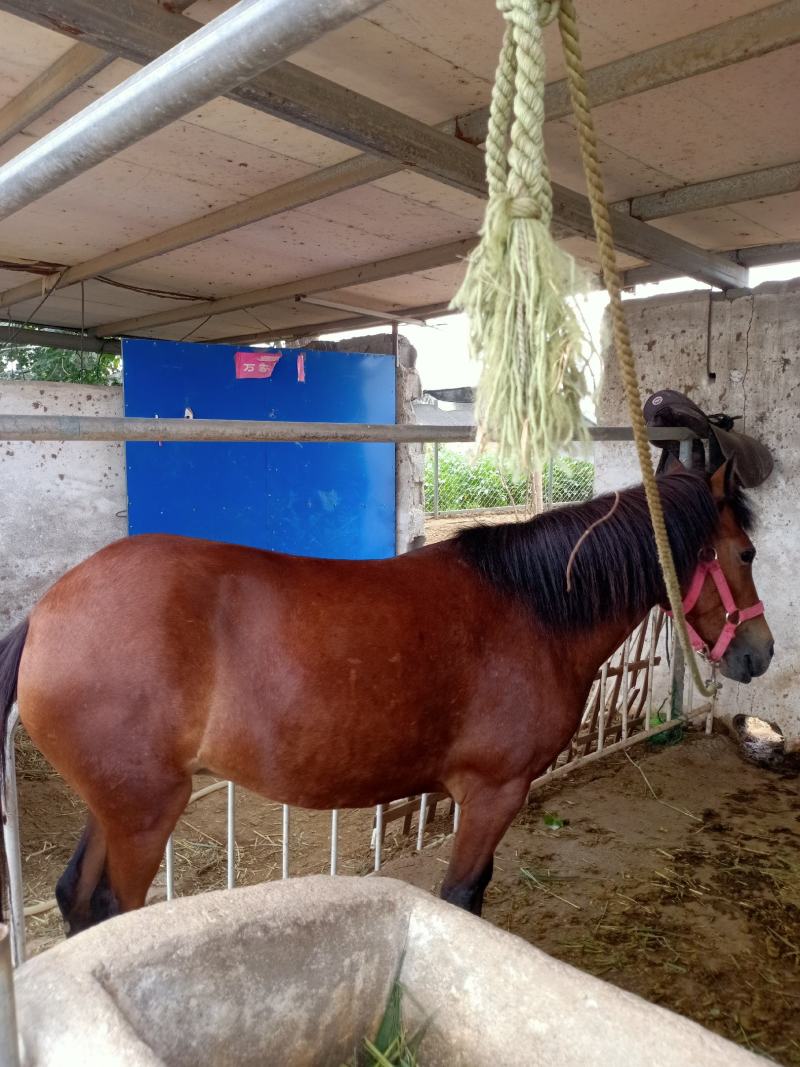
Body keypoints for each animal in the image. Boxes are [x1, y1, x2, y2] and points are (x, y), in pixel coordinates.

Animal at [0, 461, 773, 934]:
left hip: (118, 801)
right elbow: (463, 896)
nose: (759, 652)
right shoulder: (493, 792)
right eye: (746, 553)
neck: (533, 608)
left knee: (76, 898)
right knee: (111, 904)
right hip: (143, 812)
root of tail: (48, 610)